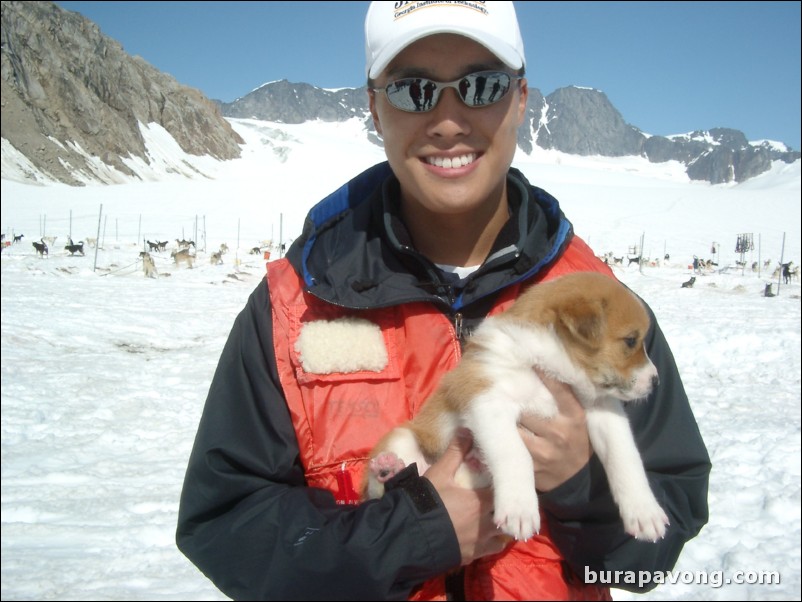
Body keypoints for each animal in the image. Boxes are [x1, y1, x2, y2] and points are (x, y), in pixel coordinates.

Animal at [366, 270, 664, 540]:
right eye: (630, 340)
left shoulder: (605, 413)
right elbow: (515, 453)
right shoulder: (488, 400)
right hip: (403, 438)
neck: (550, 366)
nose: (656, 381)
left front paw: (645, 512)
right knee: (377, 489)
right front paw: (520, 510)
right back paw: (387, 469)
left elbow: (625, 456)